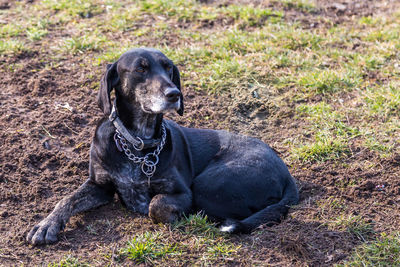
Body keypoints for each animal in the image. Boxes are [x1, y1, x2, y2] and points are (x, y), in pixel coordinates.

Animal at [26, 47, 298, 245]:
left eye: (168, 68)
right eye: (140, 68)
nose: (174, 93)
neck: (137, 143)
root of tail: (287, 176)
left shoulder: (183, 192)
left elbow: (155, 204)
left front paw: (167, 212)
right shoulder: (99, 186)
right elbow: (67, 199)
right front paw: (47, 224)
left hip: (208, 184)